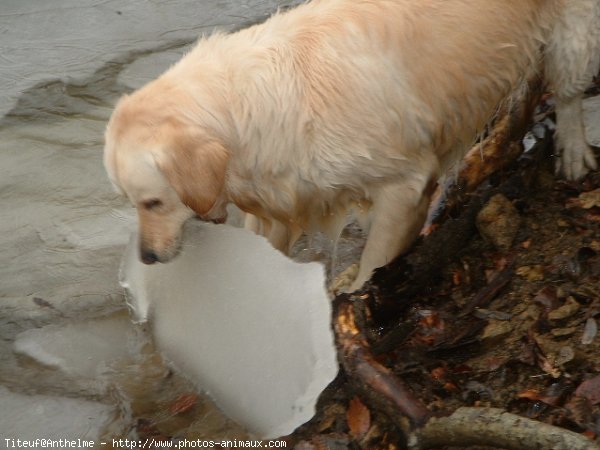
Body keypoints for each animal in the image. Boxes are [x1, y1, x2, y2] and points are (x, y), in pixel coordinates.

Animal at [104, 0, 600, 292]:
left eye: (152, 202)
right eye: (130, 201)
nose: (147, 258)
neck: (248, 105)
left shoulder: (403, 183)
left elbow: (376, 259)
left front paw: (356, 294)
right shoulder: (280, 192)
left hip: (571, 30)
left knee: (570, 92)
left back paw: (573, 151)